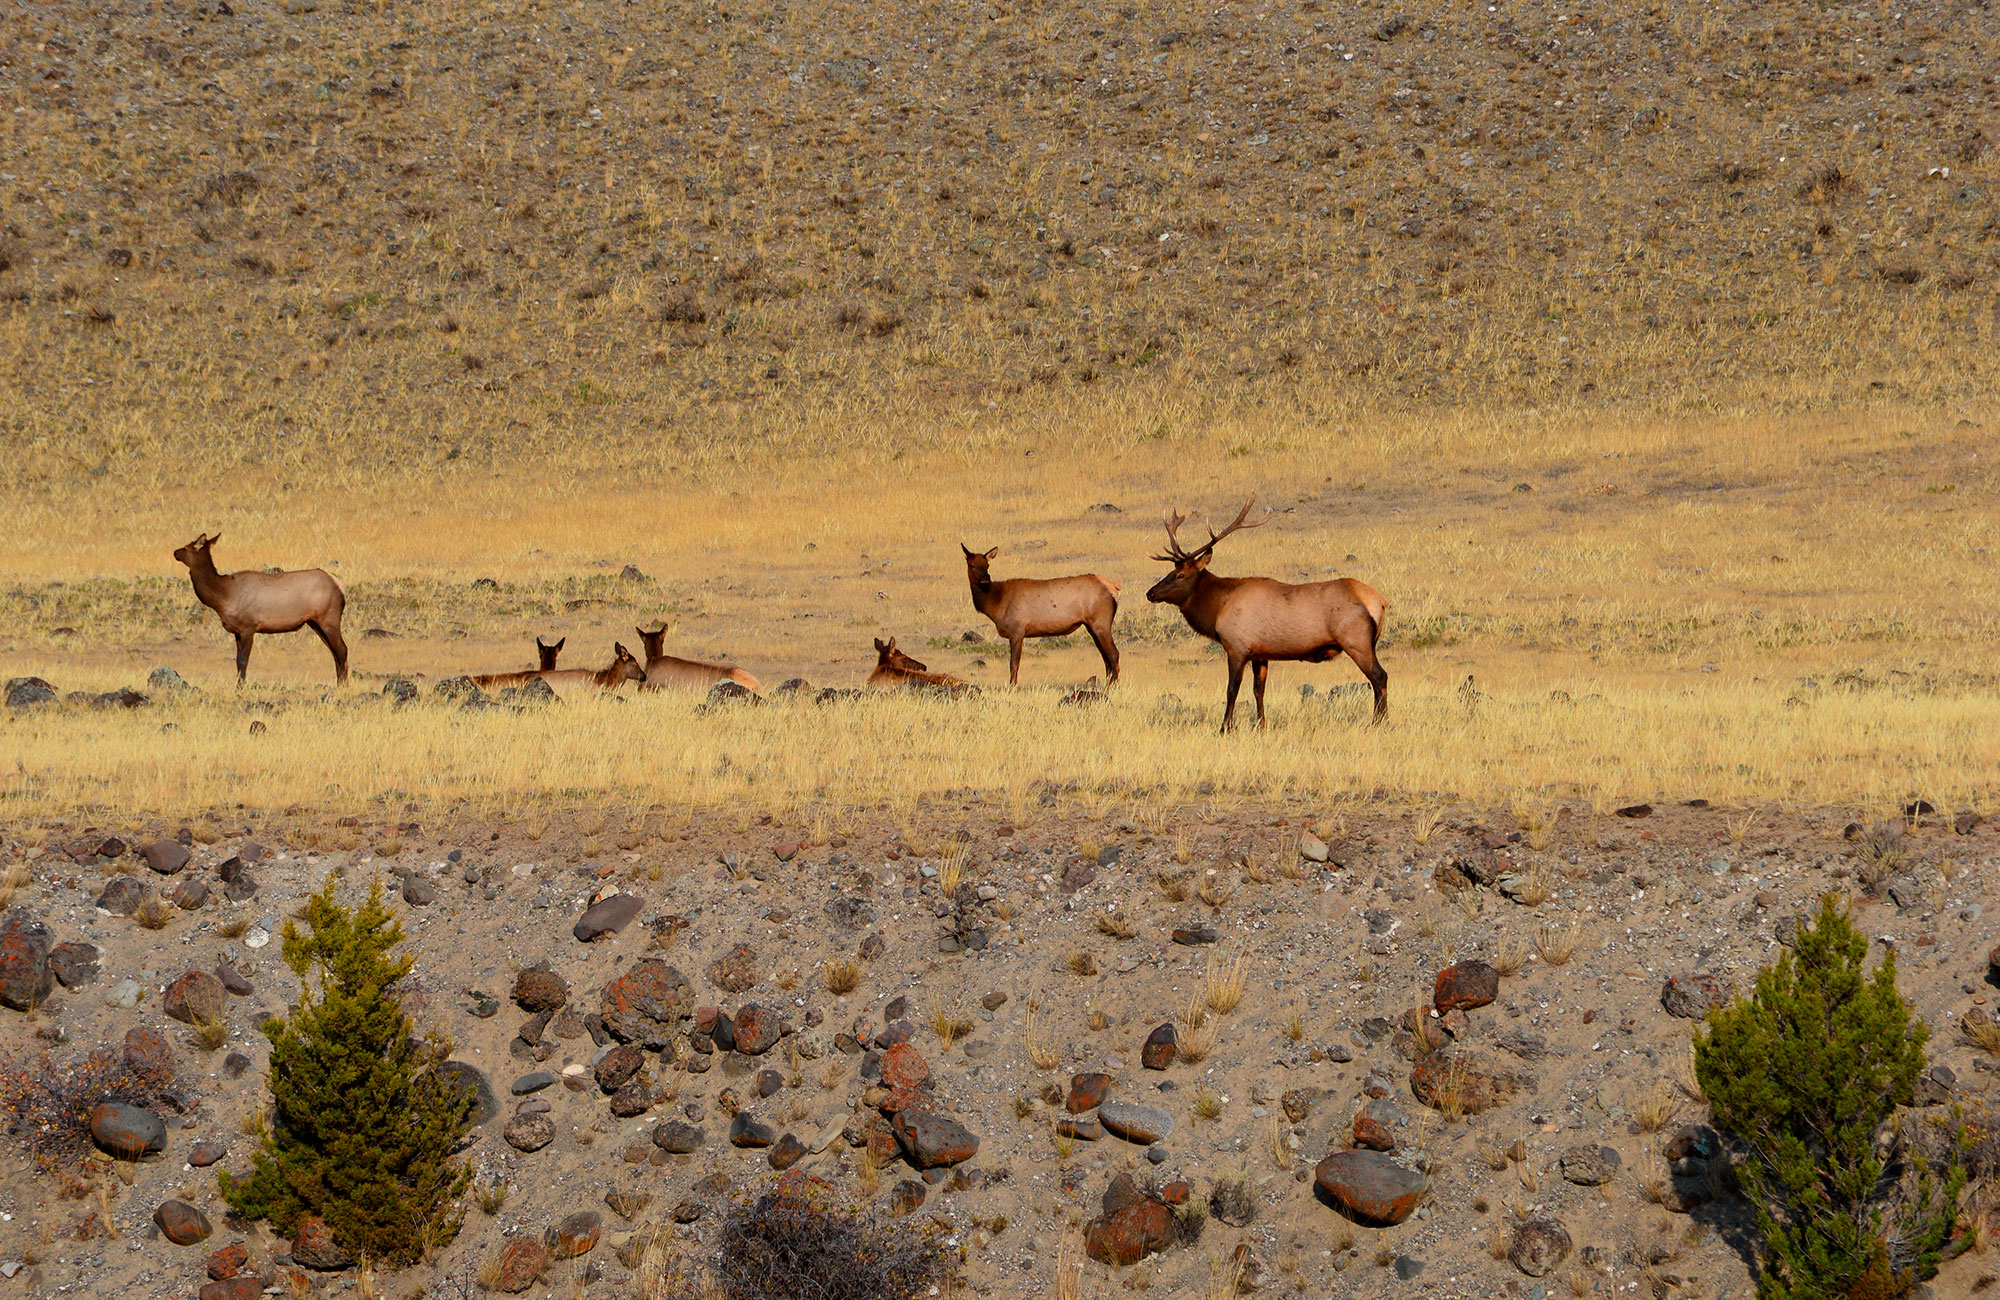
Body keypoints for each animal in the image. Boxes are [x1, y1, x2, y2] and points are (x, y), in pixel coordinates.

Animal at [171, 532, 348, 684]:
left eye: (187, 547)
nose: (175, 552)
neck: (223, 598)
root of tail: (340, 586)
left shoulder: (248, 627)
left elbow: (243, 661)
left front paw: (241, 687)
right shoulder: (237, 631)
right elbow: (237, 661)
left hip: (329, 618)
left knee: (342, 649)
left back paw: (343, 686)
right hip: (315, 623)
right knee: (334, 652)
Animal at [956, 544, 1120, 688]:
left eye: (987, 565)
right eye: (972, 565)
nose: (986, 578)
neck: (995, 604)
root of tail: (1114, 587)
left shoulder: (1017, 630)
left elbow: (1013, 664)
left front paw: (1012, 687)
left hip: (1101, 622)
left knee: (1113, 654)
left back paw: (1114, 687)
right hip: (1091, 625)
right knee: (1105, 656)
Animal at [1144, 494, 1392, 724]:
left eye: (1180, 575)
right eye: (1170, 571)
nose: (1151, 593)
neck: (1217, 608)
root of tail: (1380, 601)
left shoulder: (1237, 647)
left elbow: (1232, 690)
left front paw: (1226, 727)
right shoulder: (1260, 653)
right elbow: (1258, 690)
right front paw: (1260, 725)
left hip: (1356, 640)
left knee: (1379, 676)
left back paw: (1379, 722)